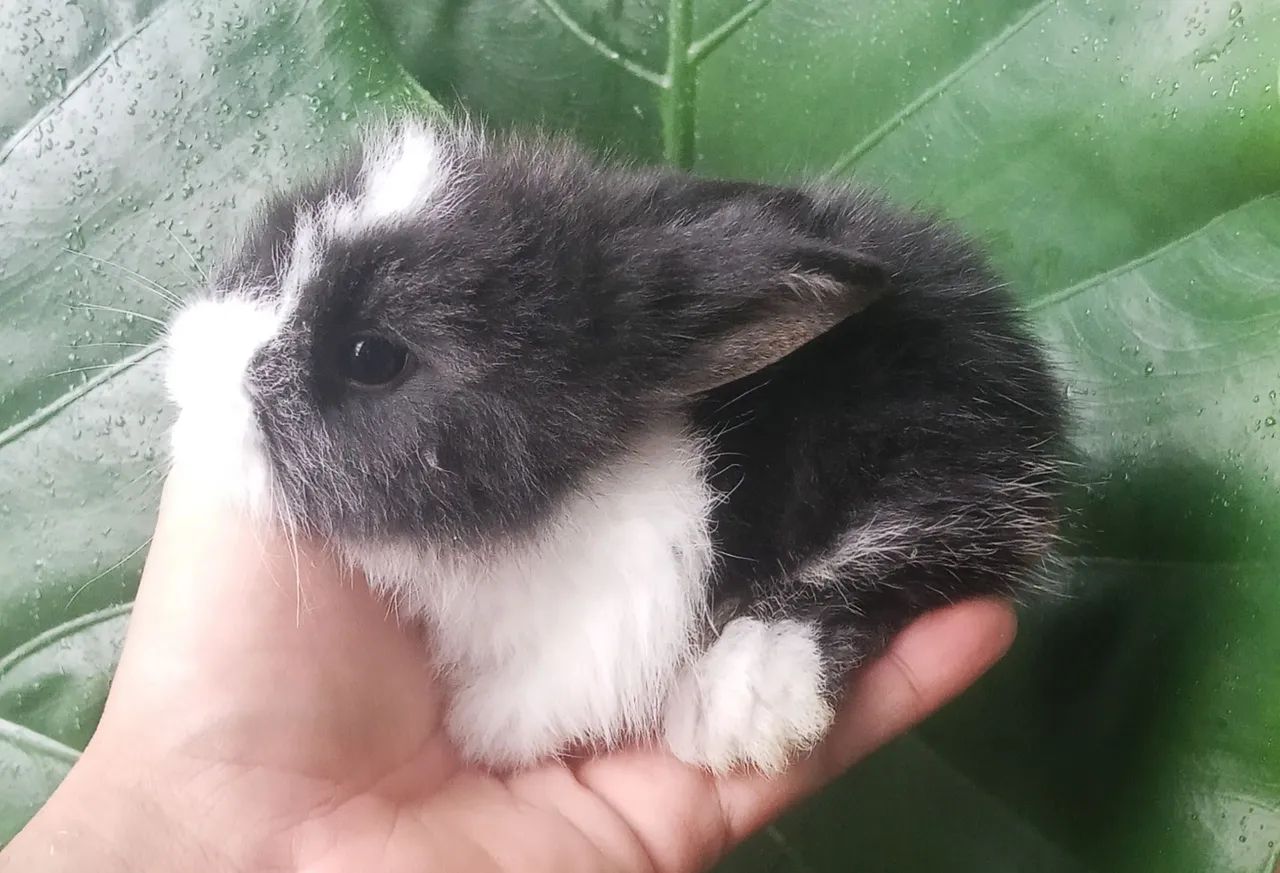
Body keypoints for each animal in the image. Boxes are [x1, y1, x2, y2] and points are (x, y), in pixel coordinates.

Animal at [164, 117, 1066, 774]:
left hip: (935, 470)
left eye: (371, 357)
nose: (186, 379)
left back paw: (734, 704)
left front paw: (486, 727)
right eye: (277, 243)